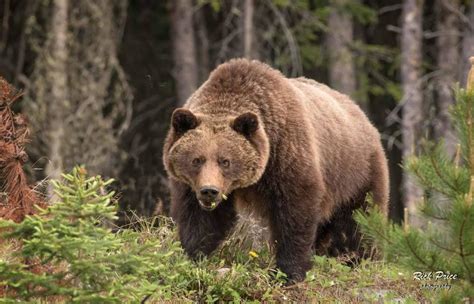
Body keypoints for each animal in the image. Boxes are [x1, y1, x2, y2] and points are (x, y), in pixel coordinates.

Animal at [163, 58, 388, 282]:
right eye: (197, 160)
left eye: (225, 161)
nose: (209, 191)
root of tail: (364, 117)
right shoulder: (191, 186)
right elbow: (200, 219)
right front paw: (193, 256)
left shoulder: (286, 154)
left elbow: (295, 212)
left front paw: (289, 272)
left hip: (356, 172)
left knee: (360, 221)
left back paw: (360, 260)